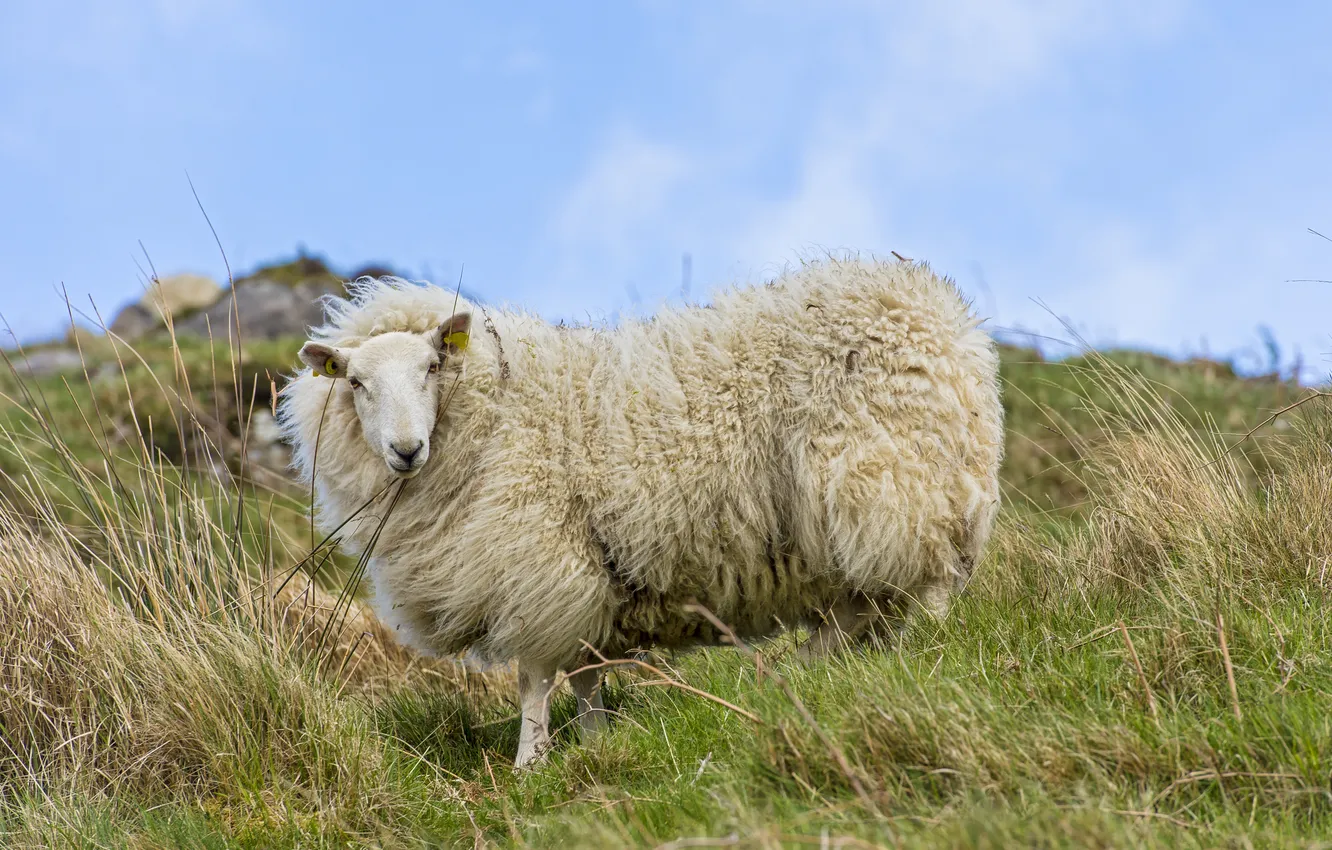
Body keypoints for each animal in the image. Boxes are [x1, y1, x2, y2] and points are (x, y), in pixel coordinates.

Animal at [278, 256, 1004, 768]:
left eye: (432, 367)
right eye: (355, 383)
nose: (406, 449)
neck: (494, 412)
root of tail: (948, 325)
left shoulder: (536, 566)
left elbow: (536, 679)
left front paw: (529, 764)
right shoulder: (576, 583)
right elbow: (585, 677)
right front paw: (598, 745)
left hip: (886, 491)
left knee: (897, 598)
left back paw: (832, 671)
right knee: (869, 609)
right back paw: (824, 670)